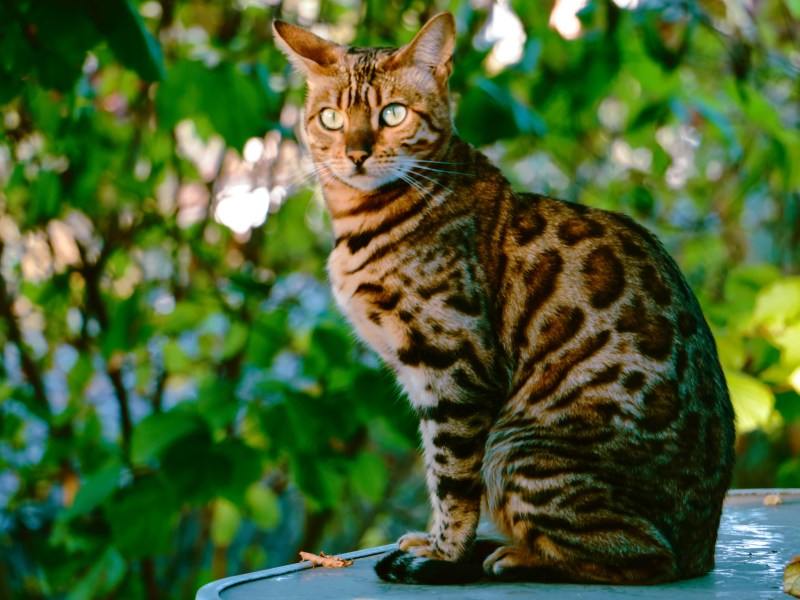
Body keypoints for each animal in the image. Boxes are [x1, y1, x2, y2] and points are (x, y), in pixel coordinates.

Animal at [272, 11, 736, 584]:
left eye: (393, 114)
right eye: (331, 118)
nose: (355, 154)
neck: (361, 222)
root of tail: (704, 547)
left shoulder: (456, 367)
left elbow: (450, 475)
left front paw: (444, 551)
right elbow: (436, 469)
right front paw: (435, 540)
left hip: (516, 447)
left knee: (644, 555)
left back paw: (509, 556)